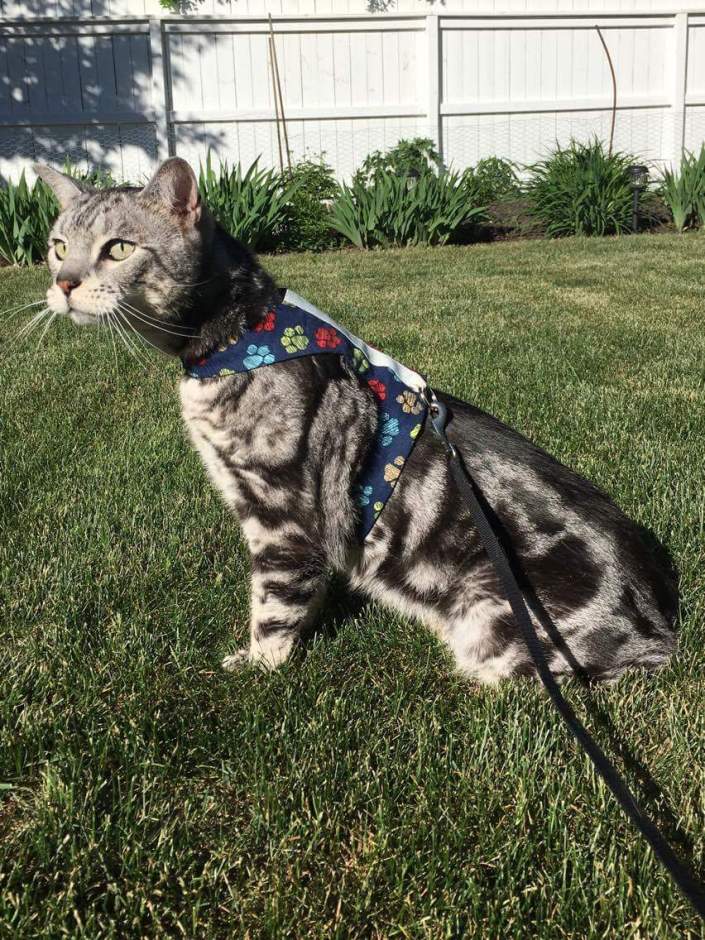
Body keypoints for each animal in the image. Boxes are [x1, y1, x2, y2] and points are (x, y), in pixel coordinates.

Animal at [33, 158, 678, 683]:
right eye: (58, 245)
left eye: (118, 248)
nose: (62, 284)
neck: (238, 337)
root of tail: (663, 621)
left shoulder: (282, 516)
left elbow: (273, 605)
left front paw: (259, 668)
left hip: (495, 632)